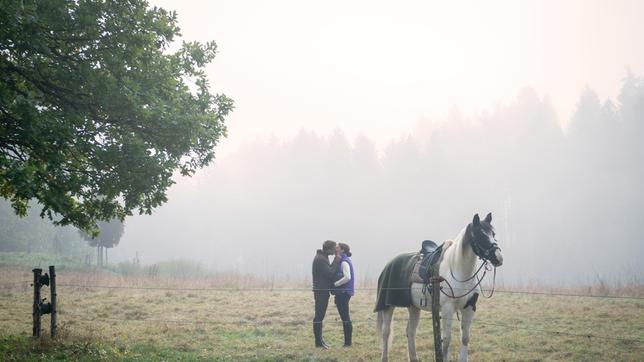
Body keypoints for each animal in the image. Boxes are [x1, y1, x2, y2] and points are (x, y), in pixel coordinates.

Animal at [378, 214, 504, 362]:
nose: (498, 258)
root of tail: (389, 263)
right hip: (388, 306)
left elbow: (465, 338)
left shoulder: (469, 307)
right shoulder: (447, 309)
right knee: (386, 332)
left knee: (410, 331)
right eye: (480, 235)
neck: (457, 270)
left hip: (413, 307)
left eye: (493, 234)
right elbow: (447, 340)